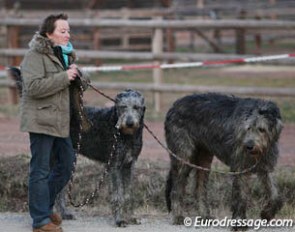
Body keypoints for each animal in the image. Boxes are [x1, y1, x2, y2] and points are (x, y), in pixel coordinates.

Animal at [165, 92, 284, 230]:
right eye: (248, 128)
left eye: (262, 129)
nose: (248, 146)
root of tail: (173, 106)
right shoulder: (240, 167)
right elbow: (240, 196)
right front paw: (239, 223)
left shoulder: (265, 167)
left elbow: (275, 194)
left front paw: (267, 213)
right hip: (183, 156)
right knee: (176, 188)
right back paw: (178, 216)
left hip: (204, 160)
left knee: (199, 189)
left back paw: (205, 216)